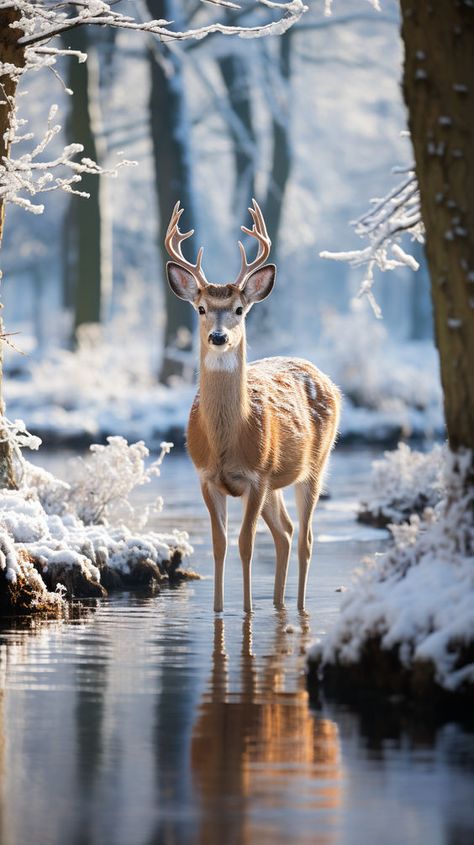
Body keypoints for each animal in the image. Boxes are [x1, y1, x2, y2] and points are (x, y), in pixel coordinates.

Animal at [166, 201, 340, 616]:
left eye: (240, 309)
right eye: (200, 308)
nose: (218, 337)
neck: (227, 441)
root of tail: (325, 378)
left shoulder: (257, 476)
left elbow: (245, 544)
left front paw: (245, 611)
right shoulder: (206, 477)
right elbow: (220, 545)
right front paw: (218, 610)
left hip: (315, 465)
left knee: (305, 537)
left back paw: (297, 606)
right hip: (278, 481)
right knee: (286, 532)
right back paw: (277, 602)